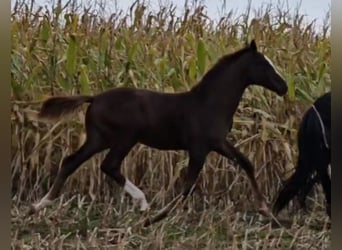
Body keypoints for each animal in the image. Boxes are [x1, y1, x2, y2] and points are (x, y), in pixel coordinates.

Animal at [27, 40, 288, 225]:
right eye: (264, 64)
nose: (285, 87)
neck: (209, 103)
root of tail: (95, 98)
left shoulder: (218, 143)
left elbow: (246, 163)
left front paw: (266, 210)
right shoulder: (199, 148)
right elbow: (188, 185)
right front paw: (156, 218)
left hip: (99, 139)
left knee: (71, 162)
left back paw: (39, 205)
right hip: (124, 138)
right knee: (109, 165)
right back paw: (143, 203)